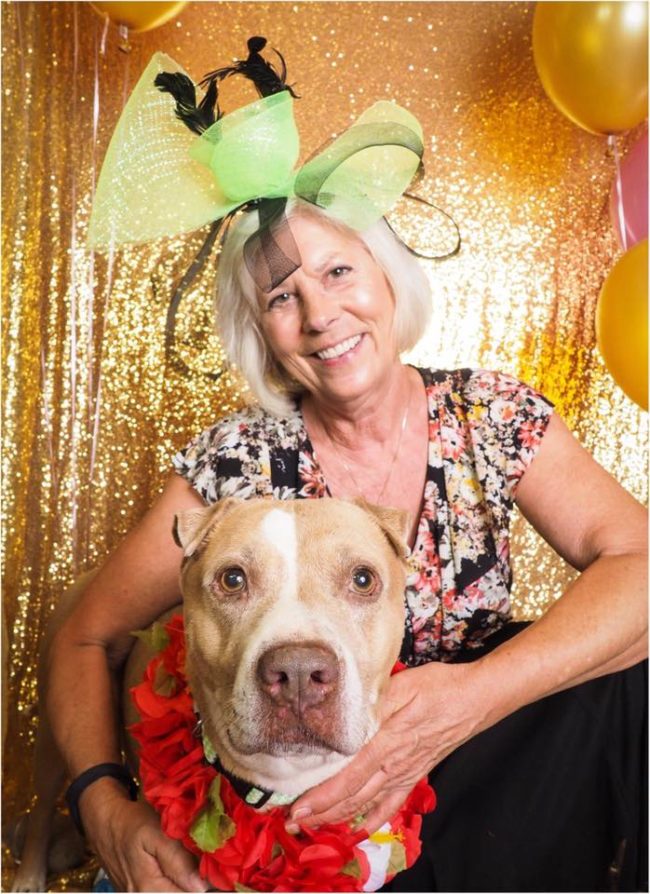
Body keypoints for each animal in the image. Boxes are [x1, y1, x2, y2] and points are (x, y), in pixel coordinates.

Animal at [10, 500, 408, 892]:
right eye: (232, 579)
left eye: (363, 579)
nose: (298, 672)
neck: (285, 780)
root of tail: (95, 571)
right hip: (52, 728)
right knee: (41, 809)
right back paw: (28, 877)